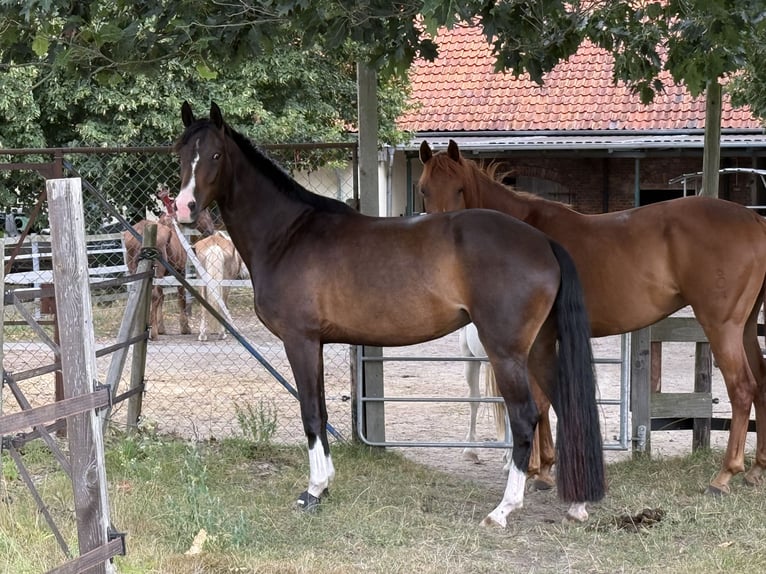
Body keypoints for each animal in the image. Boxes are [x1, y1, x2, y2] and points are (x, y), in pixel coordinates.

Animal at [123, 210, 215, 340]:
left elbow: (162, 298)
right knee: (154, 296)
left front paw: (161, 327)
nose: (211, 230)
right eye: (205, 212)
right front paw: (185, 327)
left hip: (136, 270)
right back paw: (153, 332)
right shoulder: (180, 271)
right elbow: (180, 298)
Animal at [173, 101, 604, 526]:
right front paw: (325, 485)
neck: (289, 234)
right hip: (541, 349)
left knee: (525, 416)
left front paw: (313, 490)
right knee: (566, 408)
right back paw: (577, 504)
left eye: (215, 155)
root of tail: (543, 242)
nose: (183, 207)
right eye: (180, 153)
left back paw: (503, 509)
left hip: (507, 353)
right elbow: (321, 410)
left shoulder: (301, 340)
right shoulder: (315, 343)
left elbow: (310, 412)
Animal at [419, 139, 766, 496]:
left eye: (460, 189)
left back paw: (725, 475)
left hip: (722, 326)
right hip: (746, 328)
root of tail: (754, 221)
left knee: (742, 388)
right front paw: (545, 466)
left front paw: (535, 469)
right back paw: (756, 469)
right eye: (423, 190)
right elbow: (544, 400)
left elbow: (538, 401)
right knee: (761, 384)